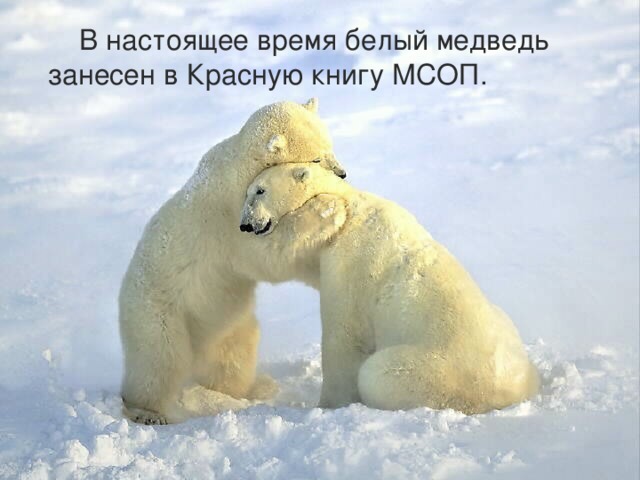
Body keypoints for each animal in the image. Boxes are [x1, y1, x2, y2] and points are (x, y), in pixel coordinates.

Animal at [119, 98, 348, 424]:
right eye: (316, 158)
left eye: (330, 145)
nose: (342, 174)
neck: (238, 166)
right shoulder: (230, 220)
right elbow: (268, 256)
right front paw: (328, 210)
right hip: (157, 314)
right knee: (159, 362)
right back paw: (147, 412)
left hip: (226, 324)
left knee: (234, 355)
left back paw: (253, 388)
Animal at [239, 163, 540, 414]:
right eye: (249, 191)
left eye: (260, 190)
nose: (245, 224)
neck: (353, 205)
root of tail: (507, 392)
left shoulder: (350, 263)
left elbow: (344, 337)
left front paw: (327, 405)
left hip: (435, 372)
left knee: (375, 374)